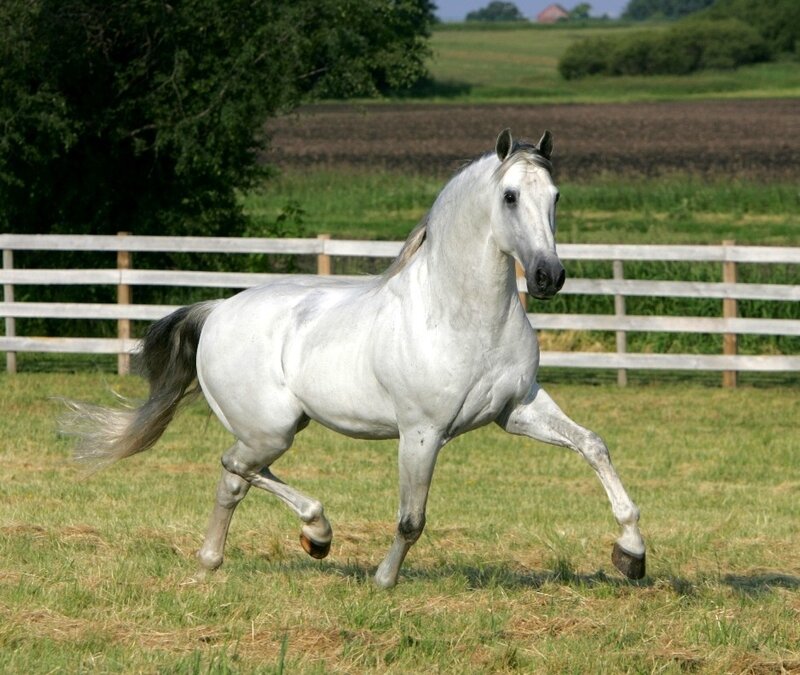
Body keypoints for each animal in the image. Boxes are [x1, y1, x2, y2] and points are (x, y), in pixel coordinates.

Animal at [62, 129, 646, 588]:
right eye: (509, 196)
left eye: (555, 197)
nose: (549, 276)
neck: (464, 319)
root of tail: (217, 311)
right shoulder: (422, 433)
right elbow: (412, 518)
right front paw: (384, 580)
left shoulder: (517, 409)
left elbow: (594, 446)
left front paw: (632, 554)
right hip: (269, 429)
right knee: (236, 468)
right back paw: (312, 533)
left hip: (274, 428)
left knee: (237, 477)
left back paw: (229, 556)